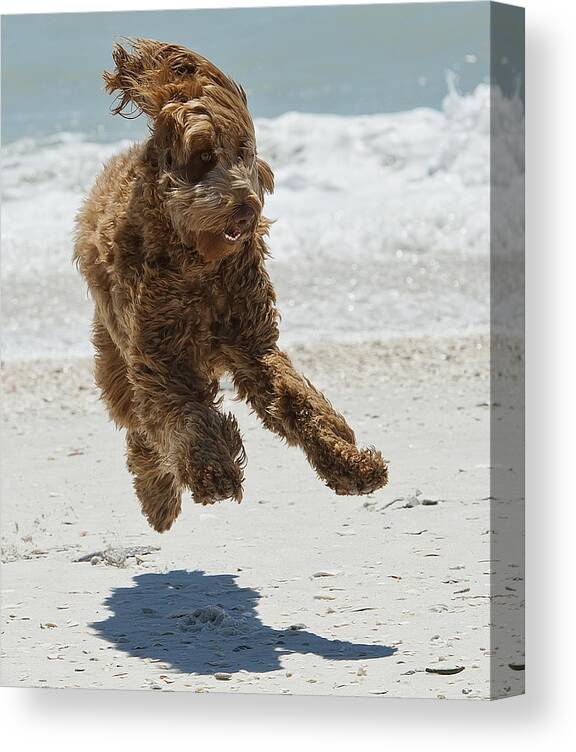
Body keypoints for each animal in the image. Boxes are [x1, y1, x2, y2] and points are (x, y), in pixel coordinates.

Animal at [72, 38, 388, 532]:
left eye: (244, 151)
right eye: (203, 159)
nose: (246, 207)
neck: (200, 267)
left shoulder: (251, 343)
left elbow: (297, 403)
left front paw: (350, 463)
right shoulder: (159, 359)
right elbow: (185, 416)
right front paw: (213, 470)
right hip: (116, 351)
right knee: (141, 424)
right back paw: (158, 495)